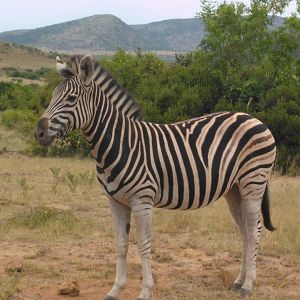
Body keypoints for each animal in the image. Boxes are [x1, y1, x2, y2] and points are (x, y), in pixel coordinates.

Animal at [34, 55, 276, 298]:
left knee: (254, 231)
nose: (39, 133)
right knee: (245, 231)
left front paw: (145, 291)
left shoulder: (142, 201)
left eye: (71, 98)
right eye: (53, 96)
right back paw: (238, 281)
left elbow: (143, 244)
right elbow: (121, 244)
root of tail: (253, 118)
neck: (121, 144)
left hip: (253, 182)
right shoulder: (115, 202)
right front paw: (115, 289)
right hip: (234, 189)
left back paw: (248, 286)